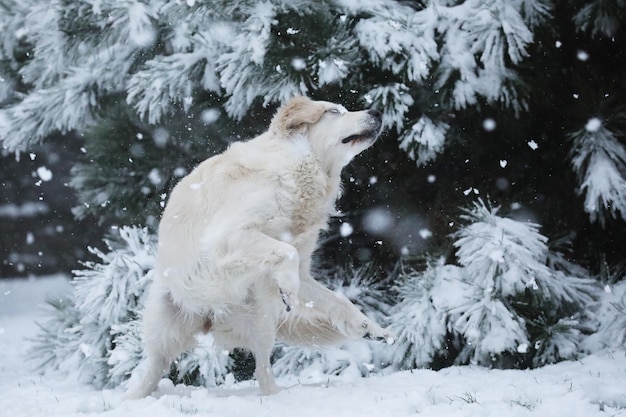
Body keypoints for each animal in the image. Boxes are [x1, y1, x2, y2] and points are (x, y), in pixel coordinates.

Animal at [123, 96, 390, 398]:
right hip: (162, 330)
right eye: (334, 111)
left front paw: (369, 326)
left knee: (262, 369)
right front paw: (289, 289)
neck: (298, 167)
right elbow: (287, 252)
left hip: (261, 320)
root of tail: (210, 318)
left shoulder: (300, 268)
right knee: (154, 369)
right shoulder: (228, 235)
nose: (377, 112)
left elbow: (339, 299)